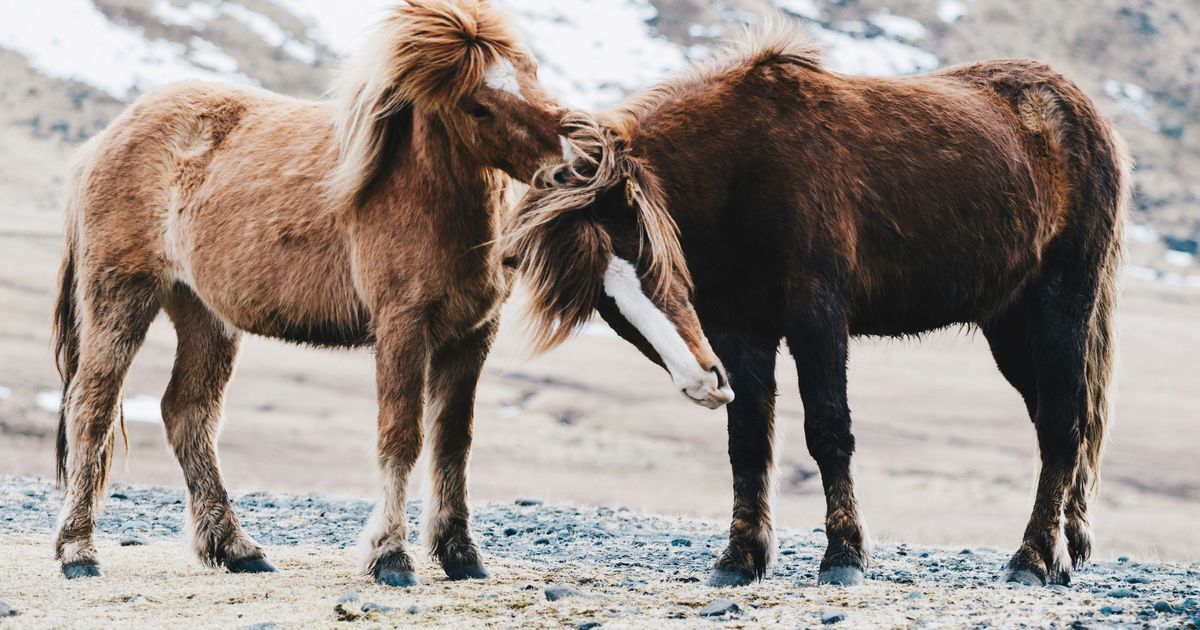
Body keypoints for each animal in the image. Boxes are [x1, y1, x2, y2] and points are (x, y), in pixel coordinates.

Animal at [51, 0, 566, 585]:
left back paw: (237, 548)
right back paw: (79, 552)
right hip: (122, 296)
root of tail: (104, 139)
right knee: (90, 408)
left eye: (531, 74)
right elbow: (402, 438)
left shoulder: (473, 335)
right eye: (478, 107)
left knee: (188, 413)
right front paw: (390, 556)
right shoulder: (403, 327)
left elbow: (454, 444)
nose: (570, 162)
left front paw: (460, 553)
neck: (419, 190)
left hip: (204, 312)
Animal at [506, 20, 1123, 590]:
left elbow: (828, 430)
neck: (740, 168)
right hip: (1009, 326)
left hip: (1061, 303)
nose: (702, 383)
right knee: (1060, 420)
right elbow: (748, 442)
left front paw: (844, 555)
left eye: (649, 255)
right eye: (604, 302)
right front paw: (740, 558)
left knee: (1062, 423)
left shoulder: (817, 316)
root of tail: (1082, 112)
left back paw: (1033, 559)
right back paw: (1065, 550)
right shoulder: (738, 331)